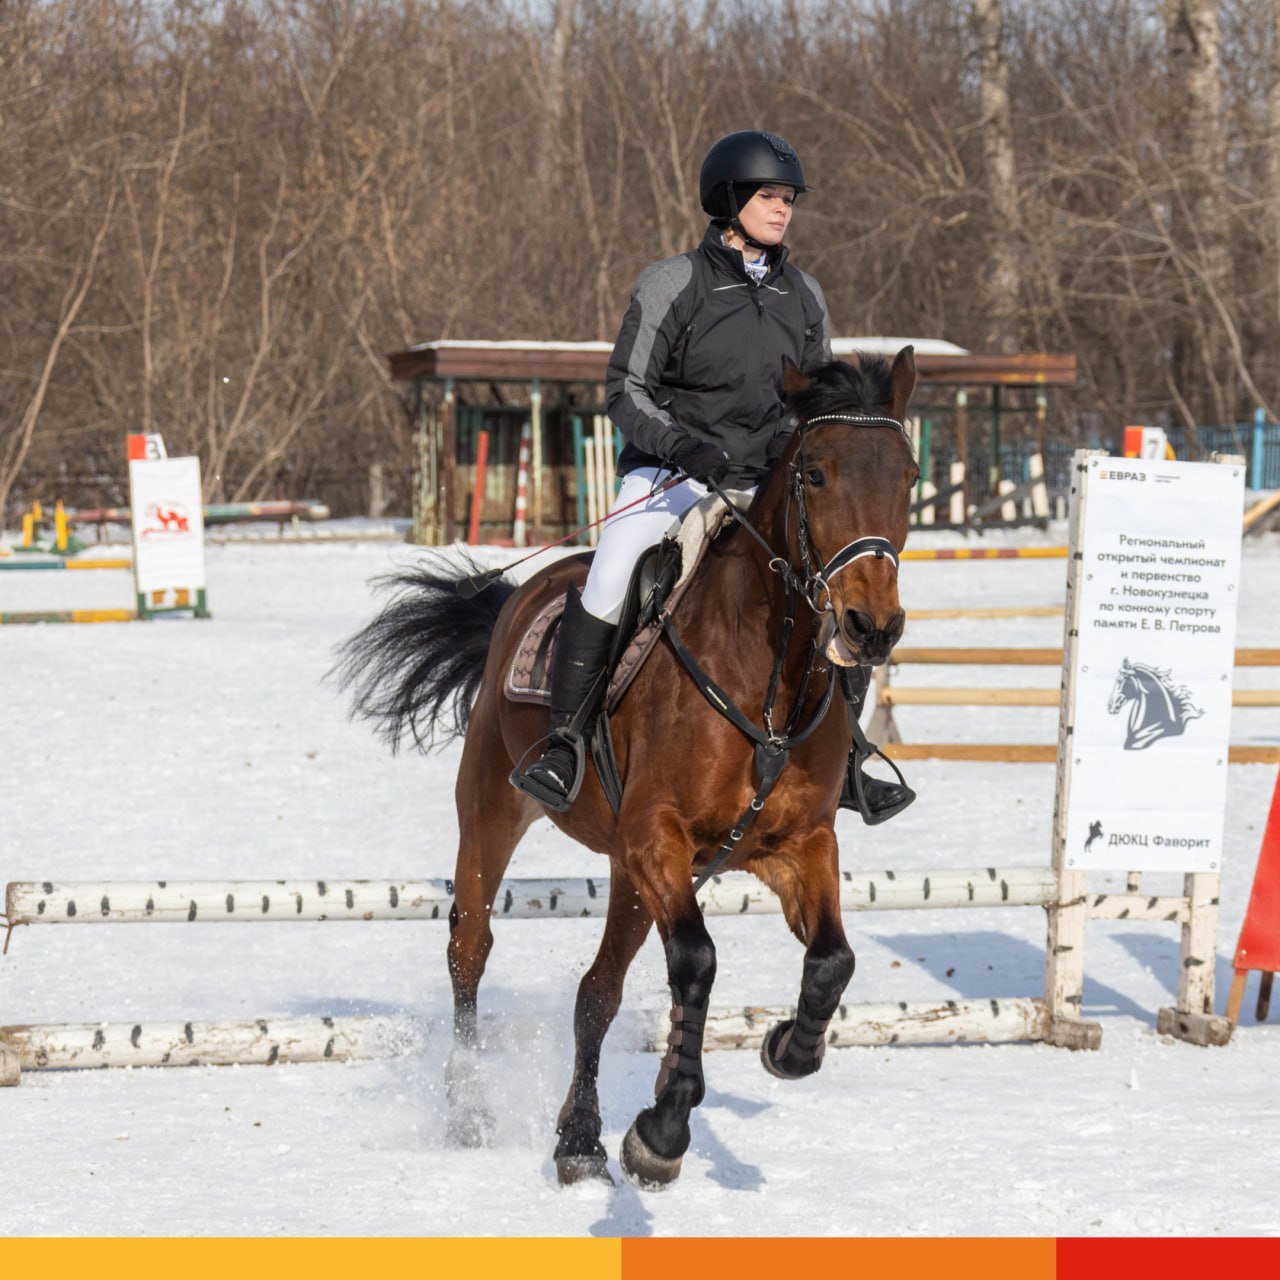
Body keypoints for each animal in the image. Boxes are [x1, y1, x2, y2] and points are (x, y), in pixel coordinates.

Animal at [340, 348, 921, 1187]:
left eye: (908, 474)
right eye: (814, 473)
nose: (871, 626)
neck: (768, 670)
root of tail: (525, 591)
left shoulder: (794, 845)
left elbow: (831, 960)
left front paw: (787, 1047)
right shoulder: (658, 836)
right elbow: (698, 961)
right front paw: (664, 1127)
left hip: (629, 873)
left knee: (597, 993)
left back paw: (578, 1139)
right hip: (495, 813)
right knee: (469, 951)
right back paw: (472, 1113)